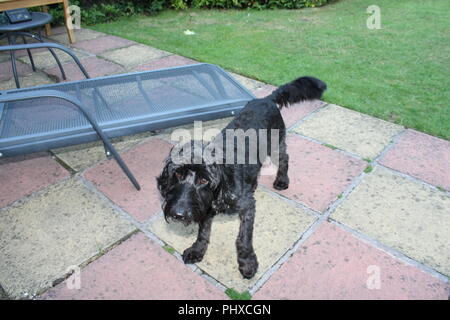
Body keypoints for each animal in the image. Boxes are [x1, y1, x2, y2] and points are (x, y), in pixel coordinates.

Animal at [156, 75, 326, 278]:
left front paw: (247, 262)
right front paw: (197, 250)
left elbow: (243, 238)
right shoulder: (204, 207)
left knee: (285, 158)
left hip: (277, 144)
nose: (178, 214)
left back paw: (282, 180)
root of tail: (266, 99)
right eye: (178, 174)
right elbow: (203, 231)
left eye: (204, 180)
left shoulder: (247, 207)